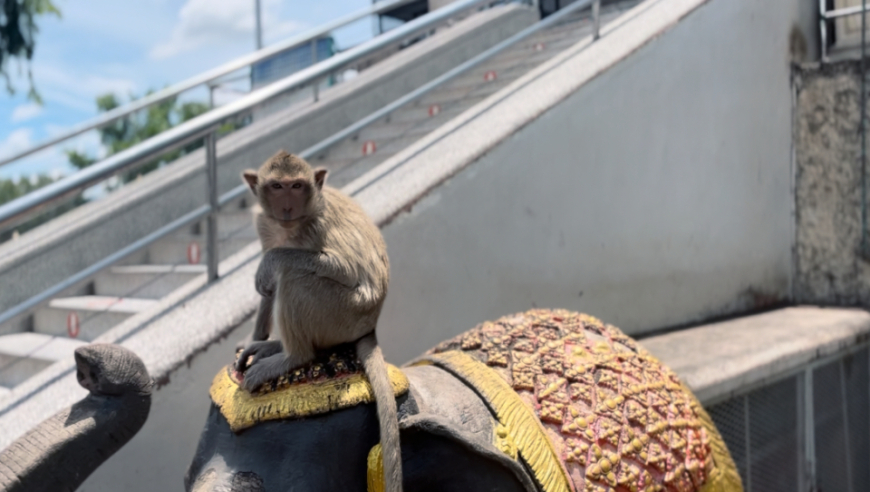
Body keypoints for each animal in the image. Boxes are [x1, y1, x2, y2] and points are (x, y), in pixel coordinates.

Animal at [235, 150, 406, 492]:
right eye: (277, 186)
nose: (287, 207)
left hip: (341, 314)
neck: (291, 228)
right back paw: (273, 346)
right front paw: (256, 338)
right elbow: (268, 285)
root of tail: (370, 325)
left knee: (294, 276)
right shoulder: (265, 225)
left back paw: (292, 356)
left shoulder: (317, 226)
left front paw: (270, 261)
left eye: (297, 185)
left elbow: (342, 268)